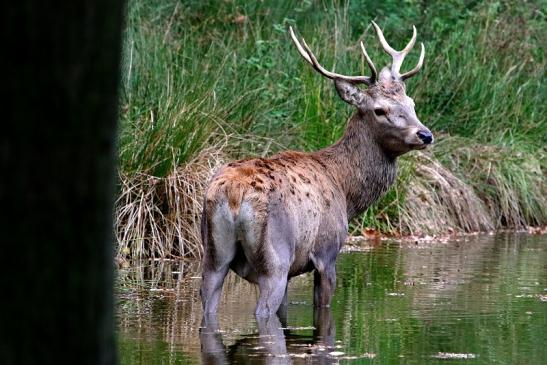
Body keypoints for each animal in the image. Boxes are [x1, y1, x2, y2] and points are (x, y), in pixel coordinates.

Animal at [199, 22, 434, 316]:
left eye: (411, 103)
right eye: (380, 110)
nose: (425, 134)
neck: (345, 190)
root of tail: (233, 194)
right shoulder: (327, 253)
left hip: (212, 254)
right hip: (275, 258)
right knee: (263, 309)